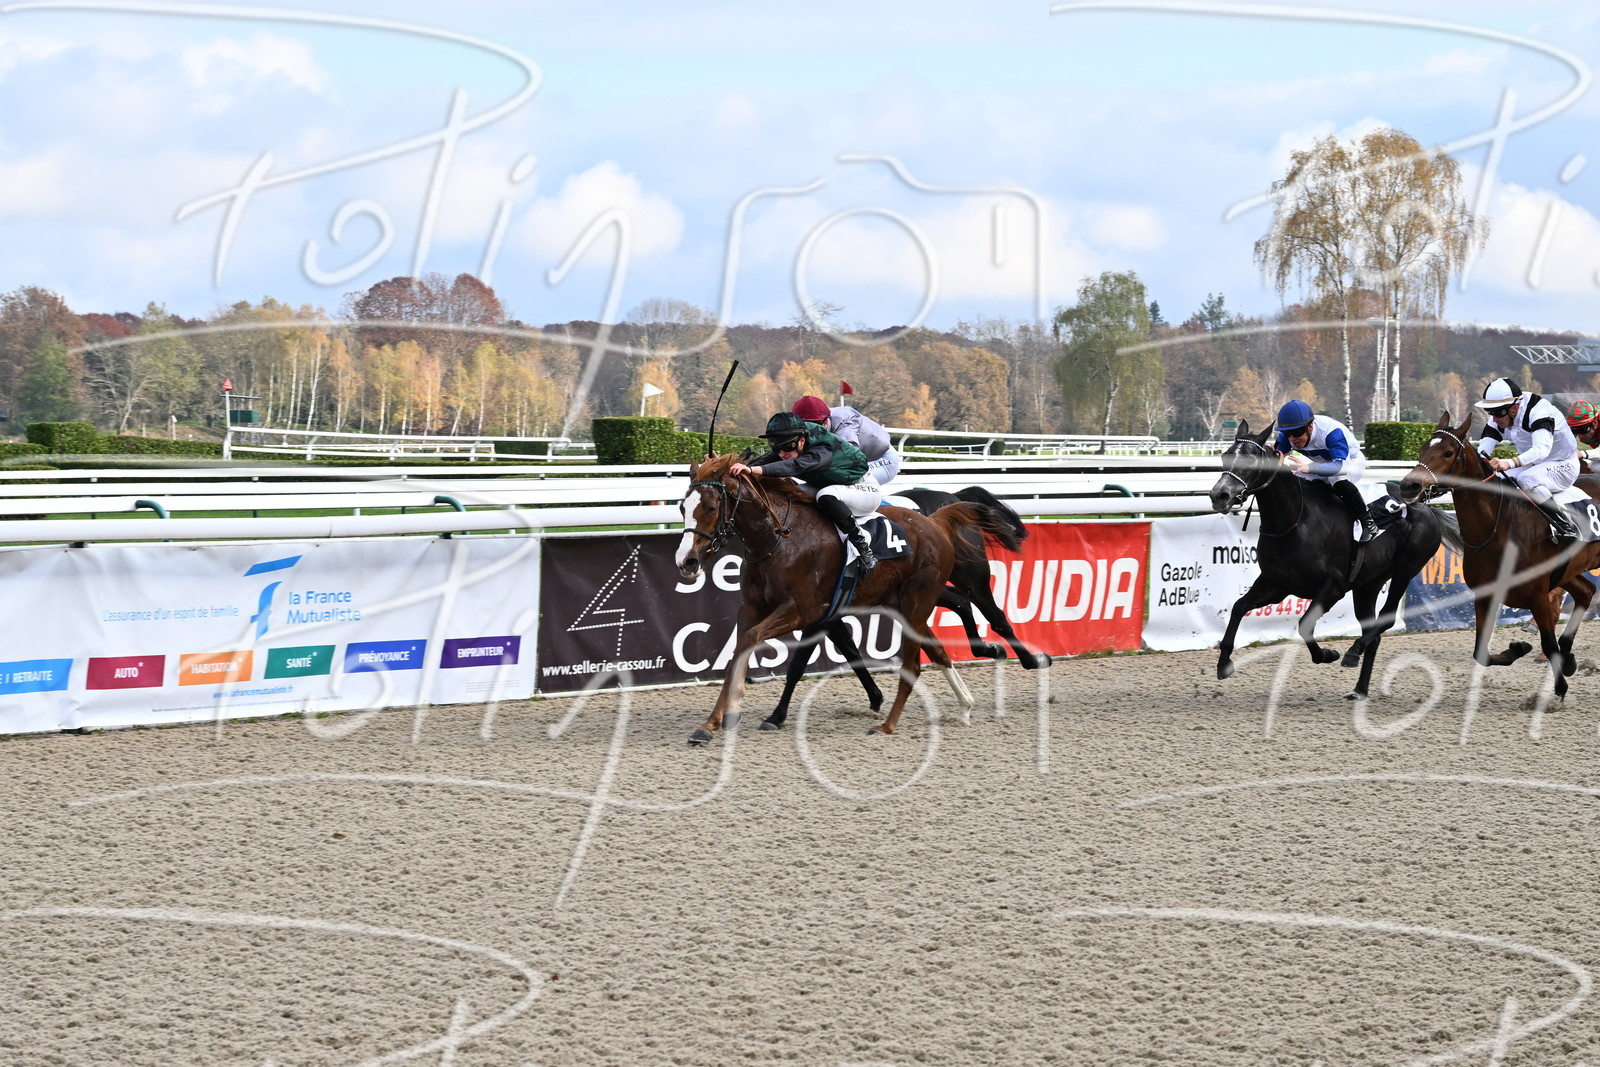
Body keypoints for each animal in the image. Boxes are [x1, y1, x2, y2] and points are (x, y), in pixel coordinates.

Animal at [675, 454, 988, 742]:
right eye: (682, 507)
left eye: (711, 507)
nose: (686, 562)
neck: (778, 539)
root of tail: (934, 523)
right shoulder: (752, 607)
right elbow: (738, 650)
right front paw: (711, 723)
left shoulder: (803, 611)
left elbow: (760, 644)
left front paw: (741, 710)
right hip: (900, 605)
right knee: (938, 649)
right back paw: (965, 705)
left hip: (917, 602)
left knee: (914, 664)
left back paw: (888, 725)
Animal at [1209, 420, 1443, 699]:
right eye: (1225, 456)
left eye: (1252, 460)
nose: (1219, 495)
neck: (1295, 521)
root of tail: (1426, 509)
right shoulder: (1275, 585)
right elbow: (1238, 607)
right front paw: (1224, 663)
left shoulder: (1333, 587)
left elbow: (1304, 625)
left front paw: (1328, 654)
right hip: (1368, 584)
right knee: (1373, 633)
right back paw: (1359, 689)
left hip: (1405, 570)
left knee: (1385, 618)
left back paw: (1353, 653)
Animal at [1398, 410, 1600, 699]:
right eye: (1423, 448)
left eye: (1448, 453)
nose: (1409, 485)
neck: (1498, 526)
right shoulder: (1486, 594)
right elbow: (1480, 653)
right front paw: (1519, 648)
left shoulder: (1538, 596)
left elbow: (1548, 645)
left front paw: (1559, 688)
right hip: (1568, 570)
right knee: (1585, 592)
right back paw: (1569, 657)